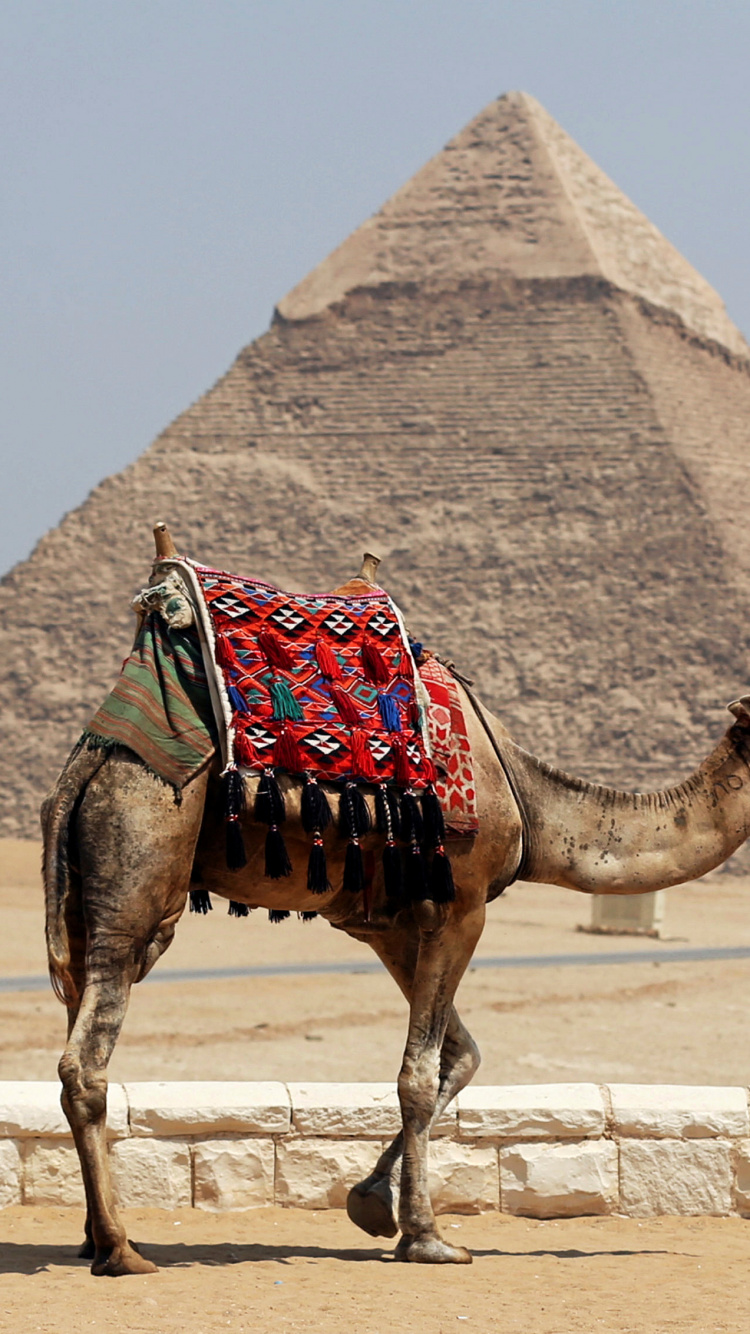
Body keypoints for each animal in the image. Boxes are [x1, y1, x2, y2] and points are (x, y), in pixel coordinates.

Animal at [41, 534, 750, 1276]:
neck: (531, 805)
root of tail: (84, 766)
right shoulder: (461, 906)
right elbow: (418, 1072)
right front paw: (427, 1236)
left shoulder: (388, 924)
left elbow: (458, 1056)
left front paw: (373, 1204)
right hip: (144, 848)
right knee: (86, 1056)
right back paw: (120, 1247)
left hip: (93, 897)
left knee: (76, 1023)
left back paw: (92, 1235)